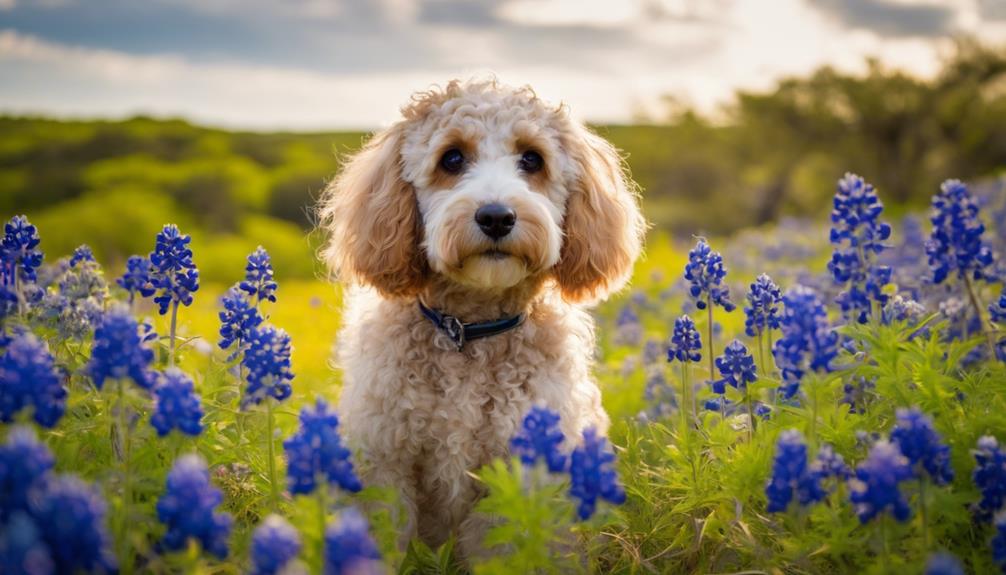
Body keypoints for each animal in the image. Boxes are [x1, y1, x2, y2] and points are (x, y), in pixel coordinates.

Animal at [323, 78, 651, 554]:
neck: (470, 329)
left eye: (532, 159)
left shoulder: (517, 473)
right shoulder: (385, 460)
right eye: (452, 158)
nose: (496, 216)